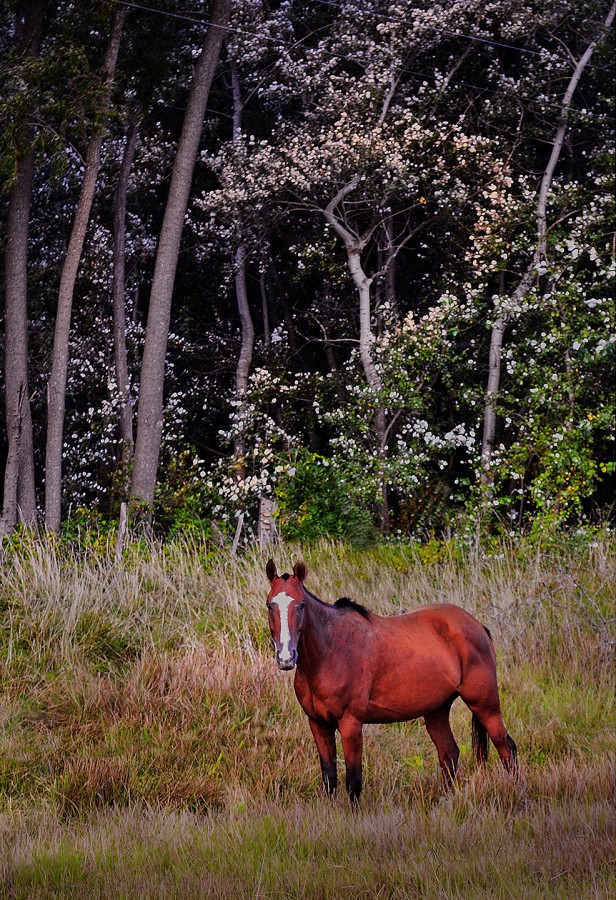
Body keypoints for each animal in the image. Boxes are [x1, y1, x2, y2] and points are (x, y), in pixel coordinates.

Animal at [264, 560, 516, 804]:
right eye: (269, 605)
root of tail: (478, 626)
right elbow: (329, 778)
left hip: (485, 705)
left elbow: (353, 782)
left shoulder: (350, 724)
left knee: (506, 748)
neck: (332, 648)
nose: (286, 657)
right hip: (437, 710)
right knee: (449, 754)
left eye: (301, 605)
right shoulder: (318, 724)